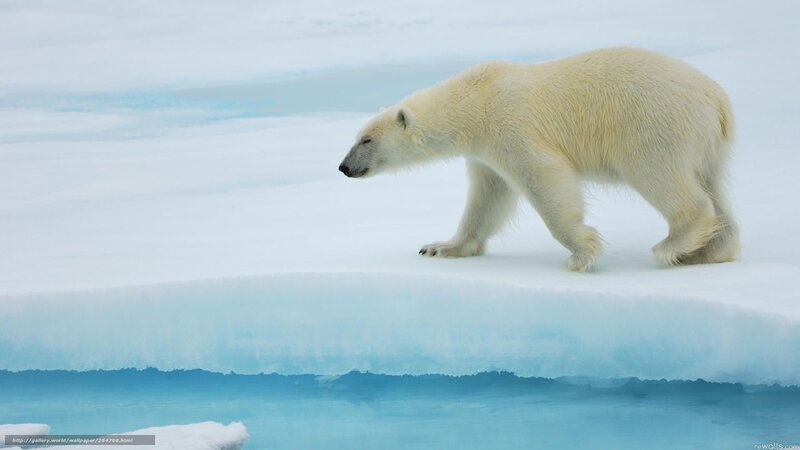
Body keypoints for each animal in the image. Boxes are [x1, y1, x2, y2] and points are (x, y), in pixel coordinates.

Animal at [338, 47, 739, 271]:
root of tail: (717, 99)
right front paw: (440, 247)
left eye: (367, 139)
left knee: (662, 177)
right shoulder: (485, 152)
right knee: (714, 186)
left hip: (654, 125)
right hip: (707, 144)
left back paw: (672, 245)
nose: (344, 167)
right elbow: (487, 197)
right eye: (356, 137)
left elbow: (544, 177)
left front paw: (581, 252)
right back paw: (708, 251)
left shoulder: (510, 124)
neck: (475, 101)